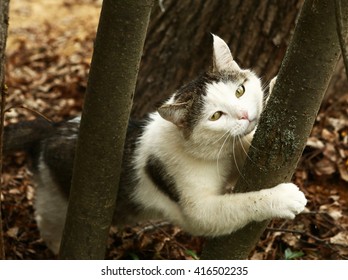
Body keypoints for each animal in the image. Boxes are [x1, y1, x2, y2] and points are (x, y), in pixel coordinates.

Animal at [3, 34, 308, 254]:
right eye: (216, 116)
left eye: (240, 91)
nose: (245, 115)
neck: (212, 155)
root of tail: (51, 127)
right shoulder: (197, 211)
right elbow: (241, 204)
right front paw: (285, 197)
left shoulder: (232, 155)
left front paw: (276, 89)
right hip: (55, 202)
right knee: (48, 222)